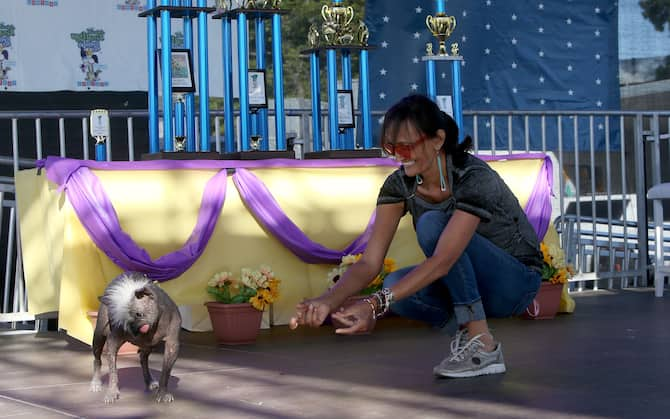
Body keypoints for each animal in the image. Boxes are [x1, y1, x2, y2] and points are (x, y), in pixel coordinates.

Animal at [90, 272, 184, 404]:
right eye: (121, 320)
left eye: (139, 314)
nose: (133, 331)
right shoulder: (112, 342)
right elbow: (113, 371)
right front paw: (112, 392)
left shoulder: (172, 345)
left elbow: (166, 372)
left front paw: (162, 393)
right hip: (98, 336)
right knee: (97, 359)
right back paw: (95, 383)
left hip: (150, 345)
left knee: (143, 358)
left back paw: (149, 381)